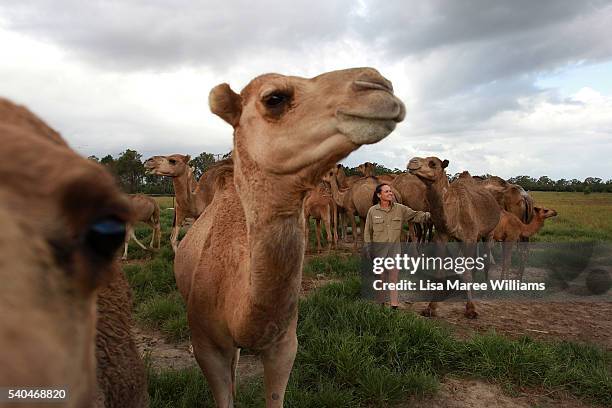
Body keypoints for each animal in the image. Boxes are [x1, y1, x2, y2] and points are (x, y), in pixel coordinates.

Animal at [406, 156, 502, 318]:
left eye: (433, 163)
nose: (412, 162)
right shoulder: (442, 235)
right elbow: (440, 272)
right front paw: (430, 308)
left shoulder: (469, 237)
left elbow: (467, 272)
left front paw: (471, 310)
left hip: (490, 231)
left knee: (487, 256)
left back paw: (485, 291)